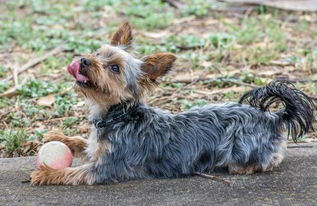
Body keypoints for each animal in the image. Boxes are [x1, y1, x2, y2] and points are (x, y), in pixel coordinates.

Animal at [29, 22, 314, 185]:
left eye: (114, 68)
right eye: (98, 53)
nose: (84, 60)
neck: (117, 114)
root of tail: (273, 117)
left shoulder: (107, 167)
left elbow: (74, 173)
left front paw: (46, 173)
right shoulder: (97, 147)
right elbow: (82, 142)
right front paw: (57, 136)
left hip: (242, 147)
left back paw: (242, 168)